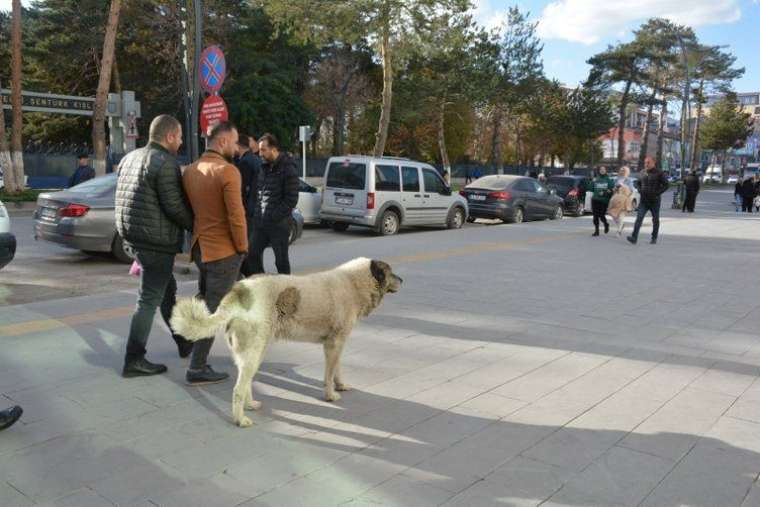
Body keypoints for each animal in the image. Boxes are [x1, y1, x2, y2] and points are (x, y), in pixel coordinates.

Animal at [169, 258, 400, 428]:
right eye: (390, 272)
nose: (403, 280)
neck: (353, 283)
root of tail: (239, 289)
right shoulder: (333, 344)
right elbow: (328, 375)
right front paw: (330, 395)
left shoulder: (338, 343)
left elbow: (337, 369)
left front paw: (340, 385)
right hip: (254, 352)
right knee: (238, 389)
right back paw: (240, 419)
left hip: (255, 352)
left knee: (246, 383)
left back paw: (251, 405)